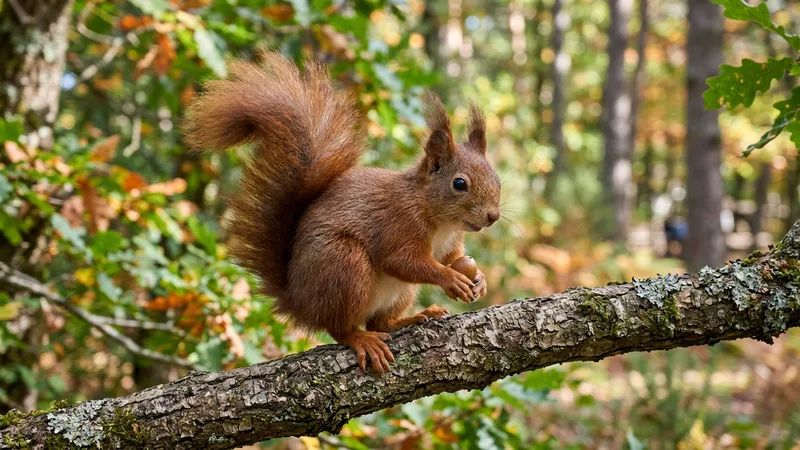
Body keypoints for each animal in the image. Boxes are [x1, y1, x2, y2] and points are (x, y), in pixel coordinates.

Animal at [184, 50, 501, 374]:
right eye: (459, 183)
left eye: (496, 177)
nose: (493, 216)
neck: (438, 217)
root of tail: (298, 301)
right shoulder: (398, 223)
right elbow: (403, 261)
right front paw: (450, 279)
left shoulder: (450, 241)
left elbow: (452, 257)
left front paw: (479, 279)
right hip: (344, 266)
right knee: (341, 327)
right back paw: (361, 339)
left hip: (399, 292)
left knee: (379, 321)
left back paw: (409, 318)